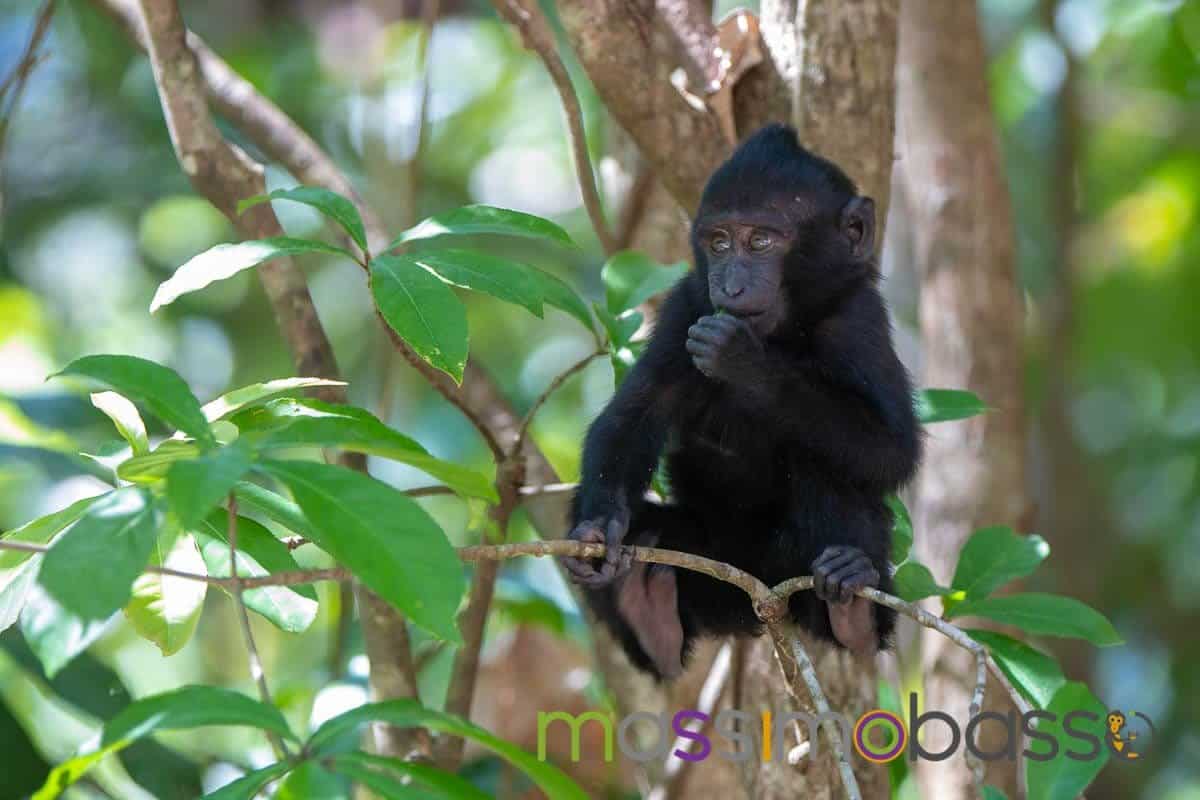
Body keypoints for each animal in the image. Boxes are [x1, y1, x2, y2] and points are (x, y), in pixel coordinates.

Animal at [561, 124, 921, 679]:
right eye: (719, 242)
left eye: (760, 241)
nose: (729, 284)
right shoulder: (686, 303)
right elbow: (633, 415)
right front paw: (601, 528)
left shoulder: (858, 319)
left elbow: (892, 451)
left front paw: (745, 362)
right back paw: (646, 609)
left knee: (825, 467)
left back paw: (852, 609)